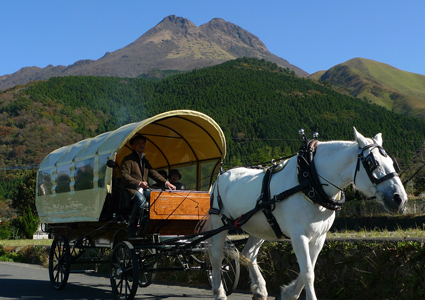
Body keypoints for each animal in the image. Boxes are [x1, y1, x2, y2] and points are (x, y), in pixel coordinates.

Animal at [207, 128, 406, 300]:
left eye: (393, 163)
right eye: (371, 163)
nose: (399, 198)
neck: (309, 181)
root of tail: (222, 175)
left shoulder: (319, 236)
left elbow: (308, 269)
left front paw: (288, 293)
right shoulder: (298, 235)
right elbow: (308, 272)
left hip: (261, 226)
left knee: (248, 253)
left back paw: (260, 289)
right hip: (219, 223)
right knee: (216, 256)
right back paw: (219, 292)